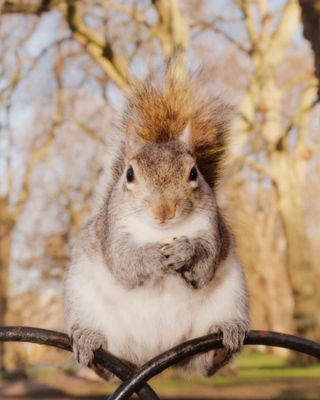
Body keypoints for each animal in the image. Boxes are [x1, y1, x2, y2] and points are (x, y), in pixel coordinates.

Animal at [63, 67, 250, 376]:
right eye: (129, 174)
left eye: (193, 173)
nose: (164, 212)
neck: (160, 233)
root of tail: (155, 351)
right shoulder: (113, 233)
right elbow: (125, 265)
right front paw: (151, 257)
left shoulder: (212, 228)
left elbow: (204, 267)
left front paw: (187, 251)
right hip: (86, 304)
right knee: (102, 364)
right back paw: (88, 341)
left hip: (229, 301)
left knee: (206, 362)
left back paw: (225, 337)